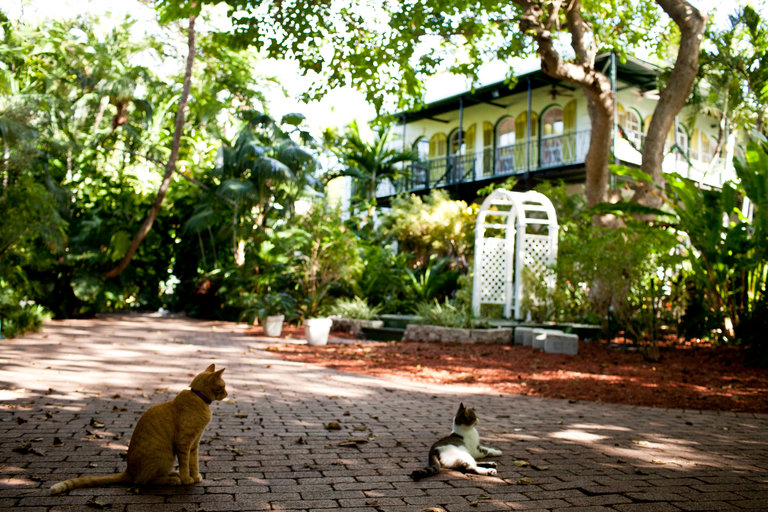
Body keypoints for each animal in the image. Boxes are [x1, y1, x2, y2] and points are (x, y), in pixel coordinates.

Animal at [49, 362, 225, 494]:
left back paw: (172, 474)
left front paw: (195, 477)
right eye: (223, 386)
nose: (227, 393)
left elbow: (193, 463)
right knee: (145, 481)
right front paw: (187, 479)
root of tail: (129, 471)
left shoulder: (194, 443)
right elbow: (184, 464)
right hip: (165, 456)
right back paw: (173, 479)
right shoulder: (183, 443)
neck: (198, 398)